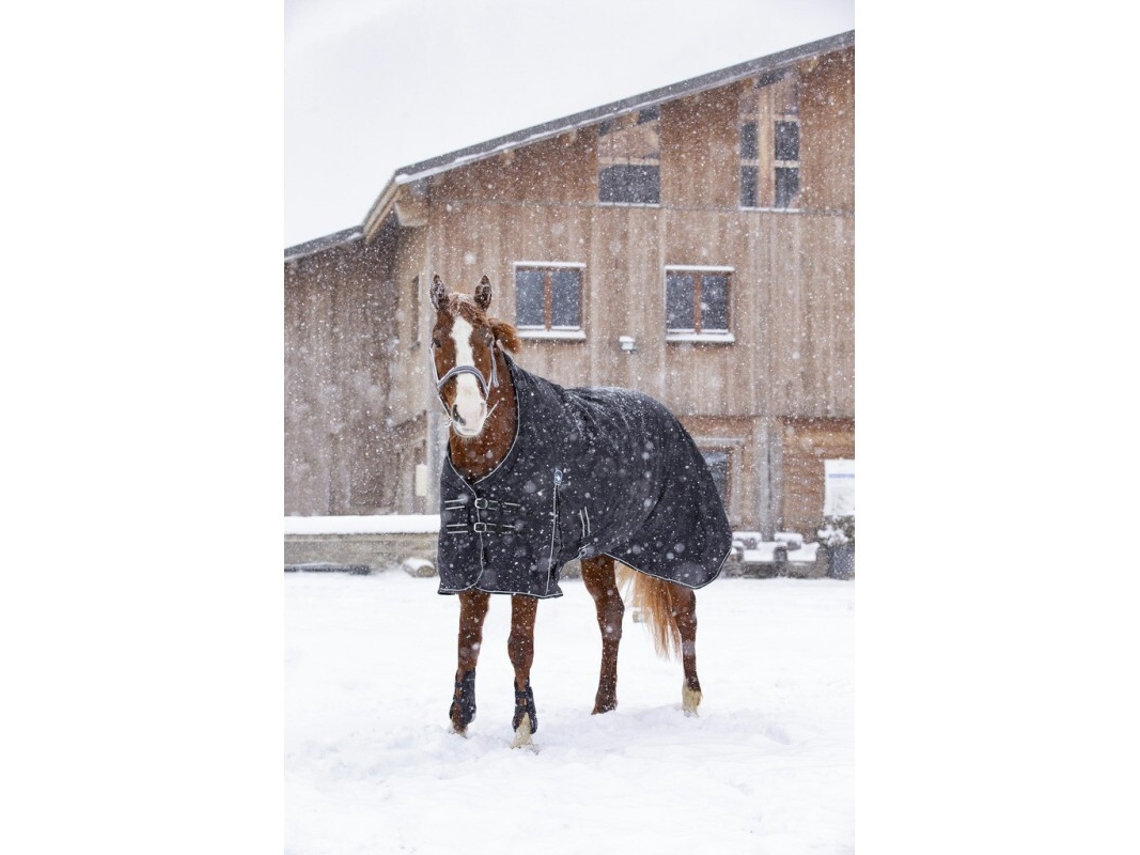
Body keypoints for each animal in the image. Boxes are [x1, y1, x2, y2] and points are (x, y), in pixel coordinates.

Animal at [429, 274, 732, 748]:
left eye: (486, 339)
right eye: (438, 339)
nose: (470, 412)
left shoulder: (529, 567)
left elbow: (519, 645)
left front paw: (523, 731)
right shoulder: (468, 563)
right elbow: (467, 643)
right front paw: (459, 726)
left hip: (674, 550)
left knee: (686, 615)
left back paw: (690, 704)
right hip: (599, 553)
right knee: (611, 617)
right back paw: (603, 706)